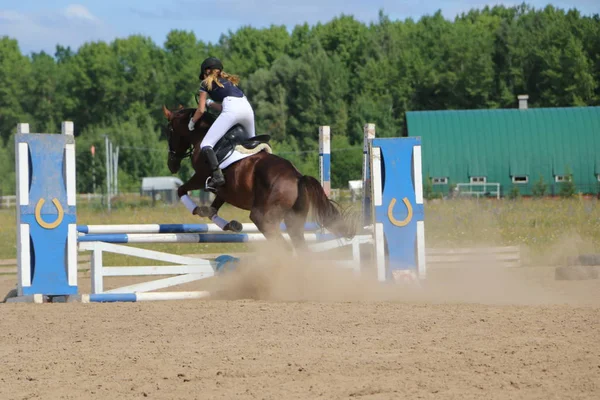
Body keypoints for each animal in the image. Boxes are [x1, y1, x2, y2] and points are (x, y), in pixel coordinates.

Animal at [161, 104, 356, 253]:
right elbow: (213, 209)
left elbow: (181, 190)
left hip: (263, 218)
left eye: (169, 131)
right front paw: (229, 224)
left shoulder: (201, 177)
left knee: (284, 248)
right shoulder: (224, 191)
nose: (172, 164)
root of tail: (297, 178)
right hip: (293, 220)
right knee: (300, 247)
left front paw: (197, 209)